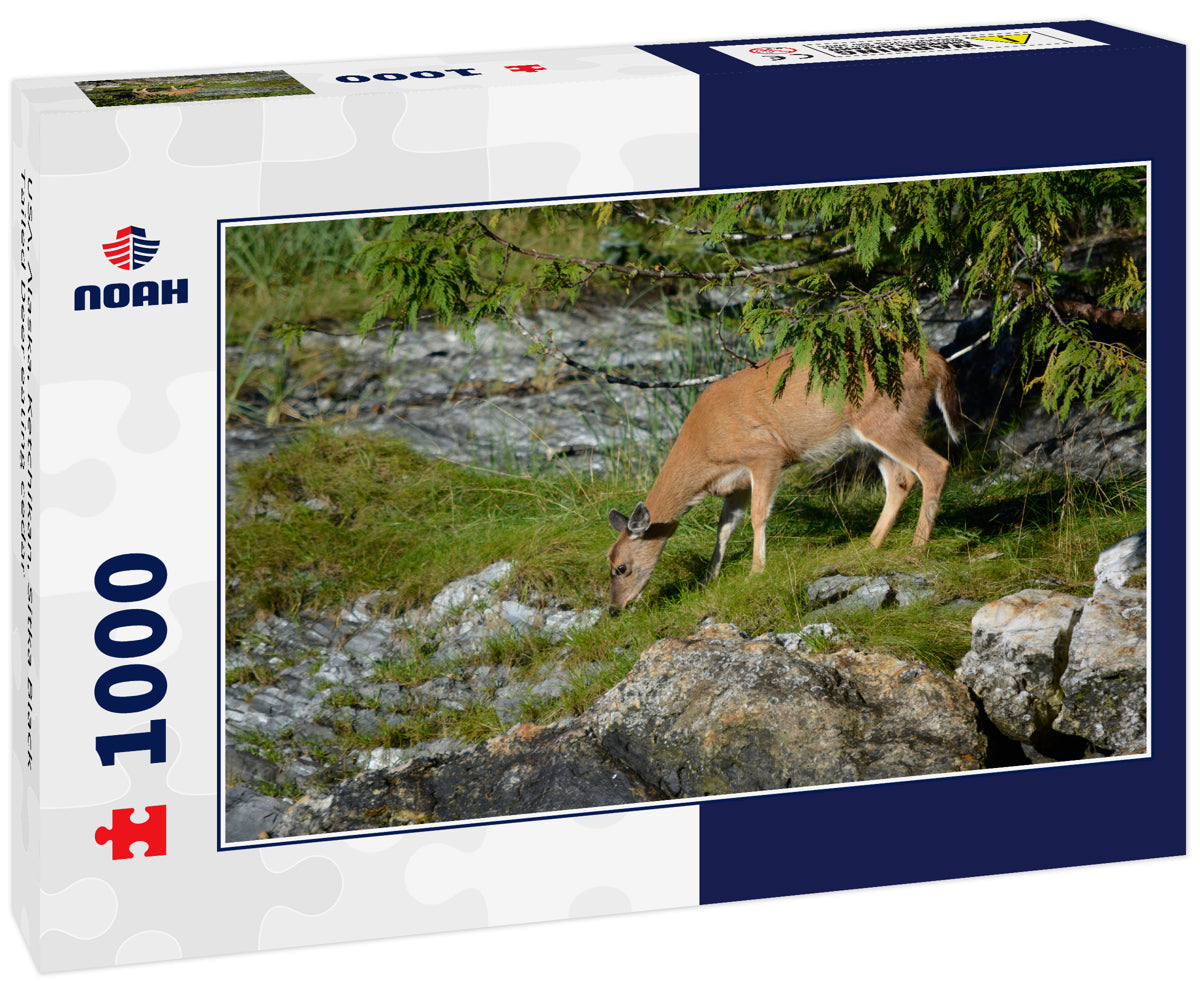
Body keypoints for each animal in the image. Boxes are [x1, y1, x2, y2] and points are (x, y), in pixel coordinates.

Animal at [606, 346, 963, 613]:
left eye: (620, 567)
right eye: (609, 561)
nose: (613, 609)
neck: (705, 450)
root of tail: (937, 361)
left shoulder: (765, 454)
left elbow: (758, 515)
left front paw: (755, 572)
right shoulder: (736, 483)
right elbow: (724, 527)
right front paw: (708, 579)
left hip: (889, 415)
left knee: (935, 466)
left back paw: (916, 547)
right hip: (872, 431)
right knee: (901, 479)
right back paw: (870, 545)